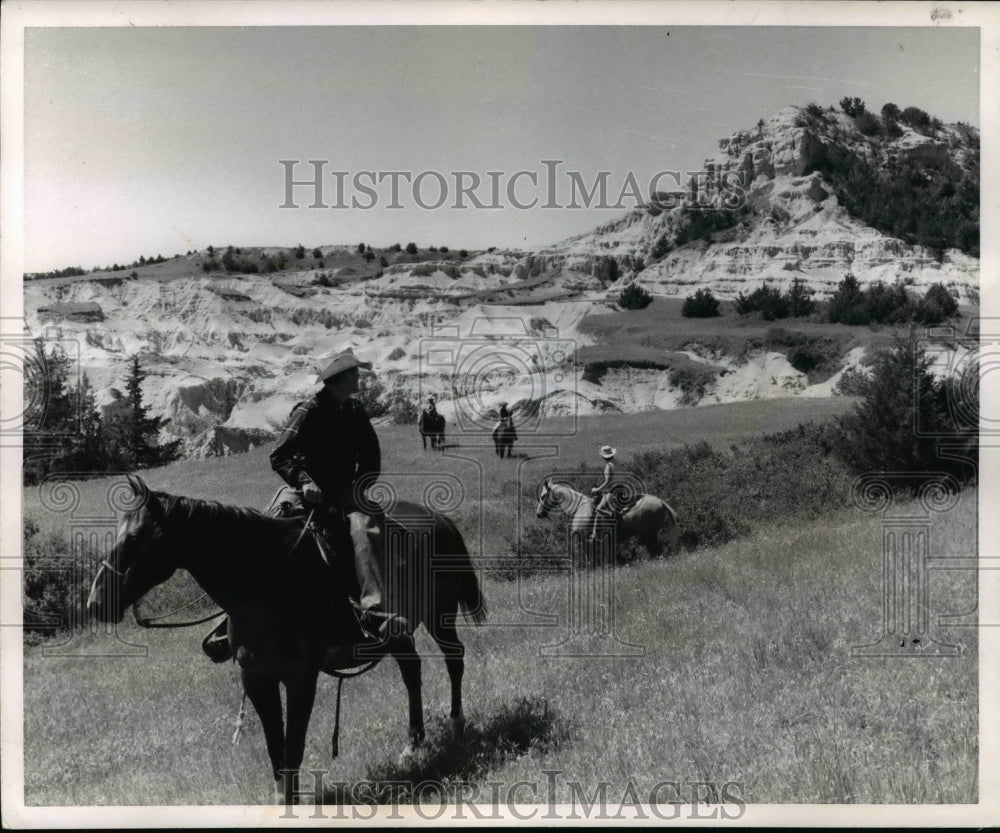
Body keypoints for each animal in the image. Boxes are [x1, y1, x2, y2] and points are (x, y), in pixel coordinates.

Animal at [86, 478, 484, 804]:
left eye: (133, 539)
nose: (95, 603)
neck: (267, 582)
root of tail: (438, 517)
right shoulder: (256, 678)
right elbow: (275, 747)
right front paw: (281, 800)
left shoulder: (300, 678)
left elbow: (293, 746)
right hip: (399, 635)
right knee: (411, 671)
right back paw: (412, 743)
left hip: (440, 617)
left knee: (454, 659)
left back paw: (456, 723)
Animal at [536, 478, 684, 556]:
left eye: (543, 496)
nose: (539, 514)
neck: (579, 508)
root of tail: (661, 502)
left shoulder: (583, 540)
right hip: (649, 536)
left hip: (648, 535)